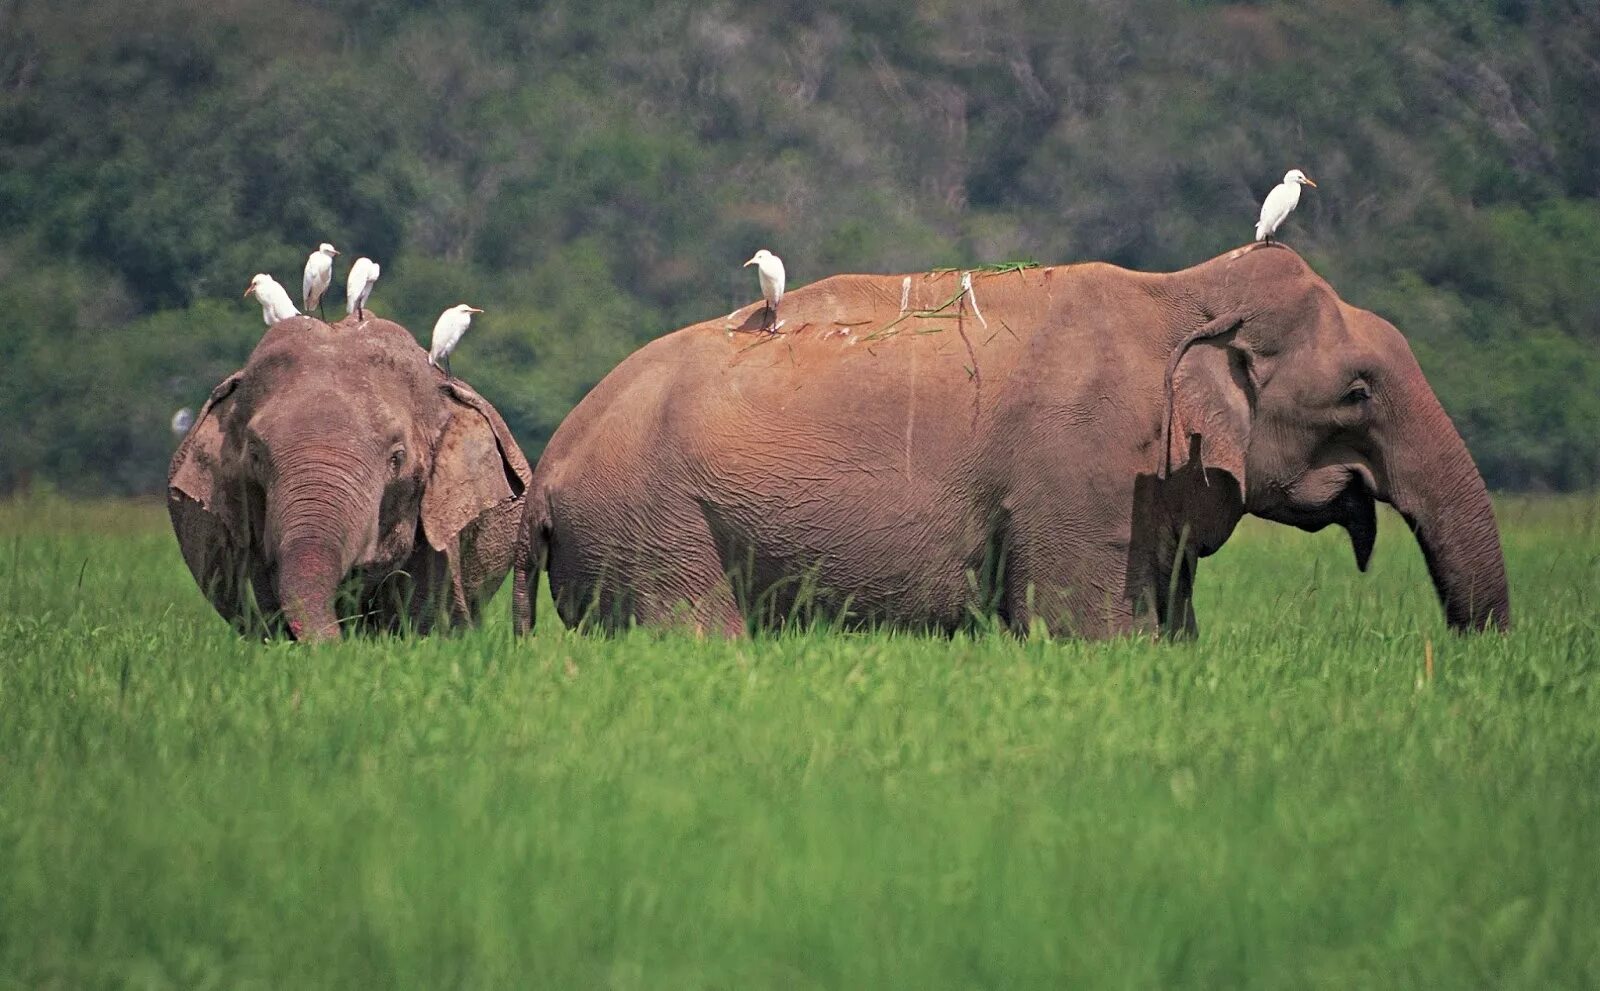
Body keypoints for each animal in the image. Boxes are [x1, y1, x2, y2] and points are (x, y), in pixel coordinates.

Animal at [515, 244, 1510, 640]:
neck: (1178, 290)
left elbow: (1173, 633)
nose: (1472, 656)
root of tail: (543, 474)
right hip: (655, 535)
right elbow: (1091, 633)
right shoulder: (1084, 476)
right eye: (1358, 390)